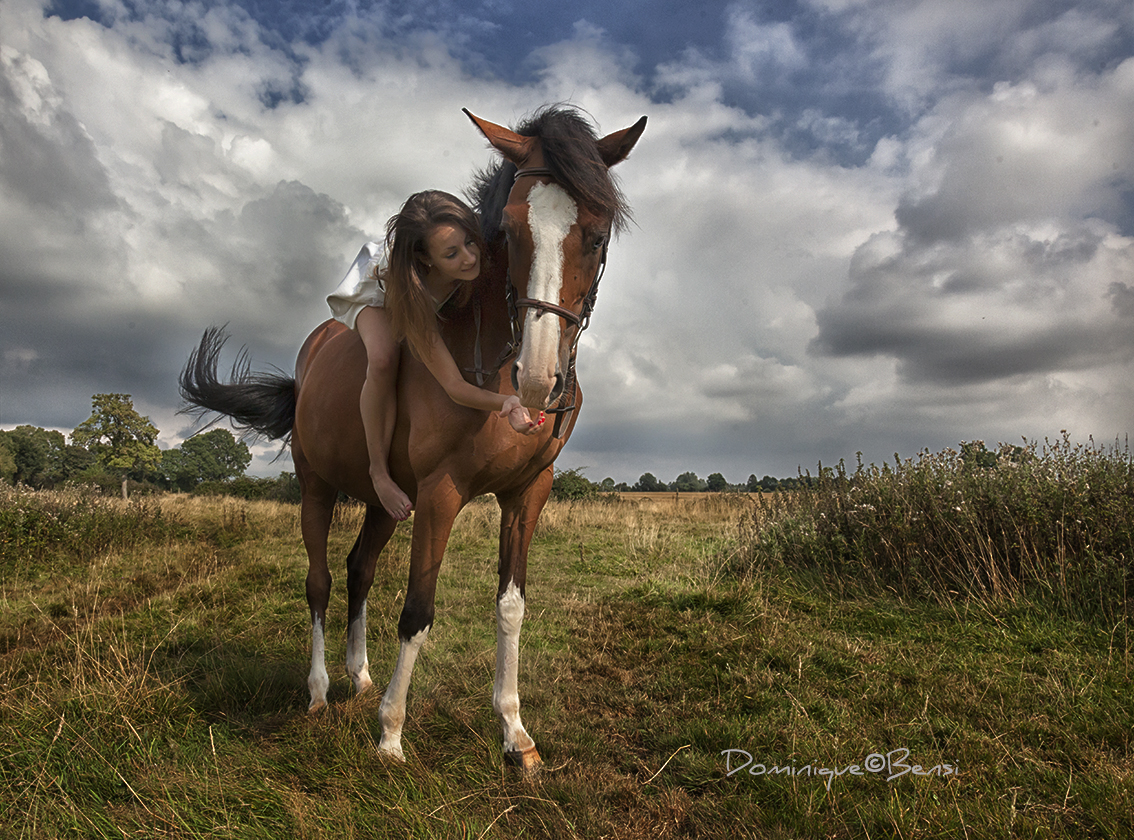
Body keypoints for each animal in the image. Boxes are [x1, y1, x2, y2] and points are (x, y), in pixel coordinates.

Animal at [183, 103, 648, 766]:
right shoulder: (440, 493)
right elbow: (417, 612)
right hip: (317, 488)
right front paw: (391, 735)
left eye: (598, 230)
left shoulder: (528, 491)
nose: (538, 381)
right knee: (320, 581)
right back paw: (320, 690)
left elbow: (511, 606)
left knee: (358, 569)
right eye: (510, 229)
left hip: (385, 503)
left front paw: (514, 732)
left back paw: (360, 676)